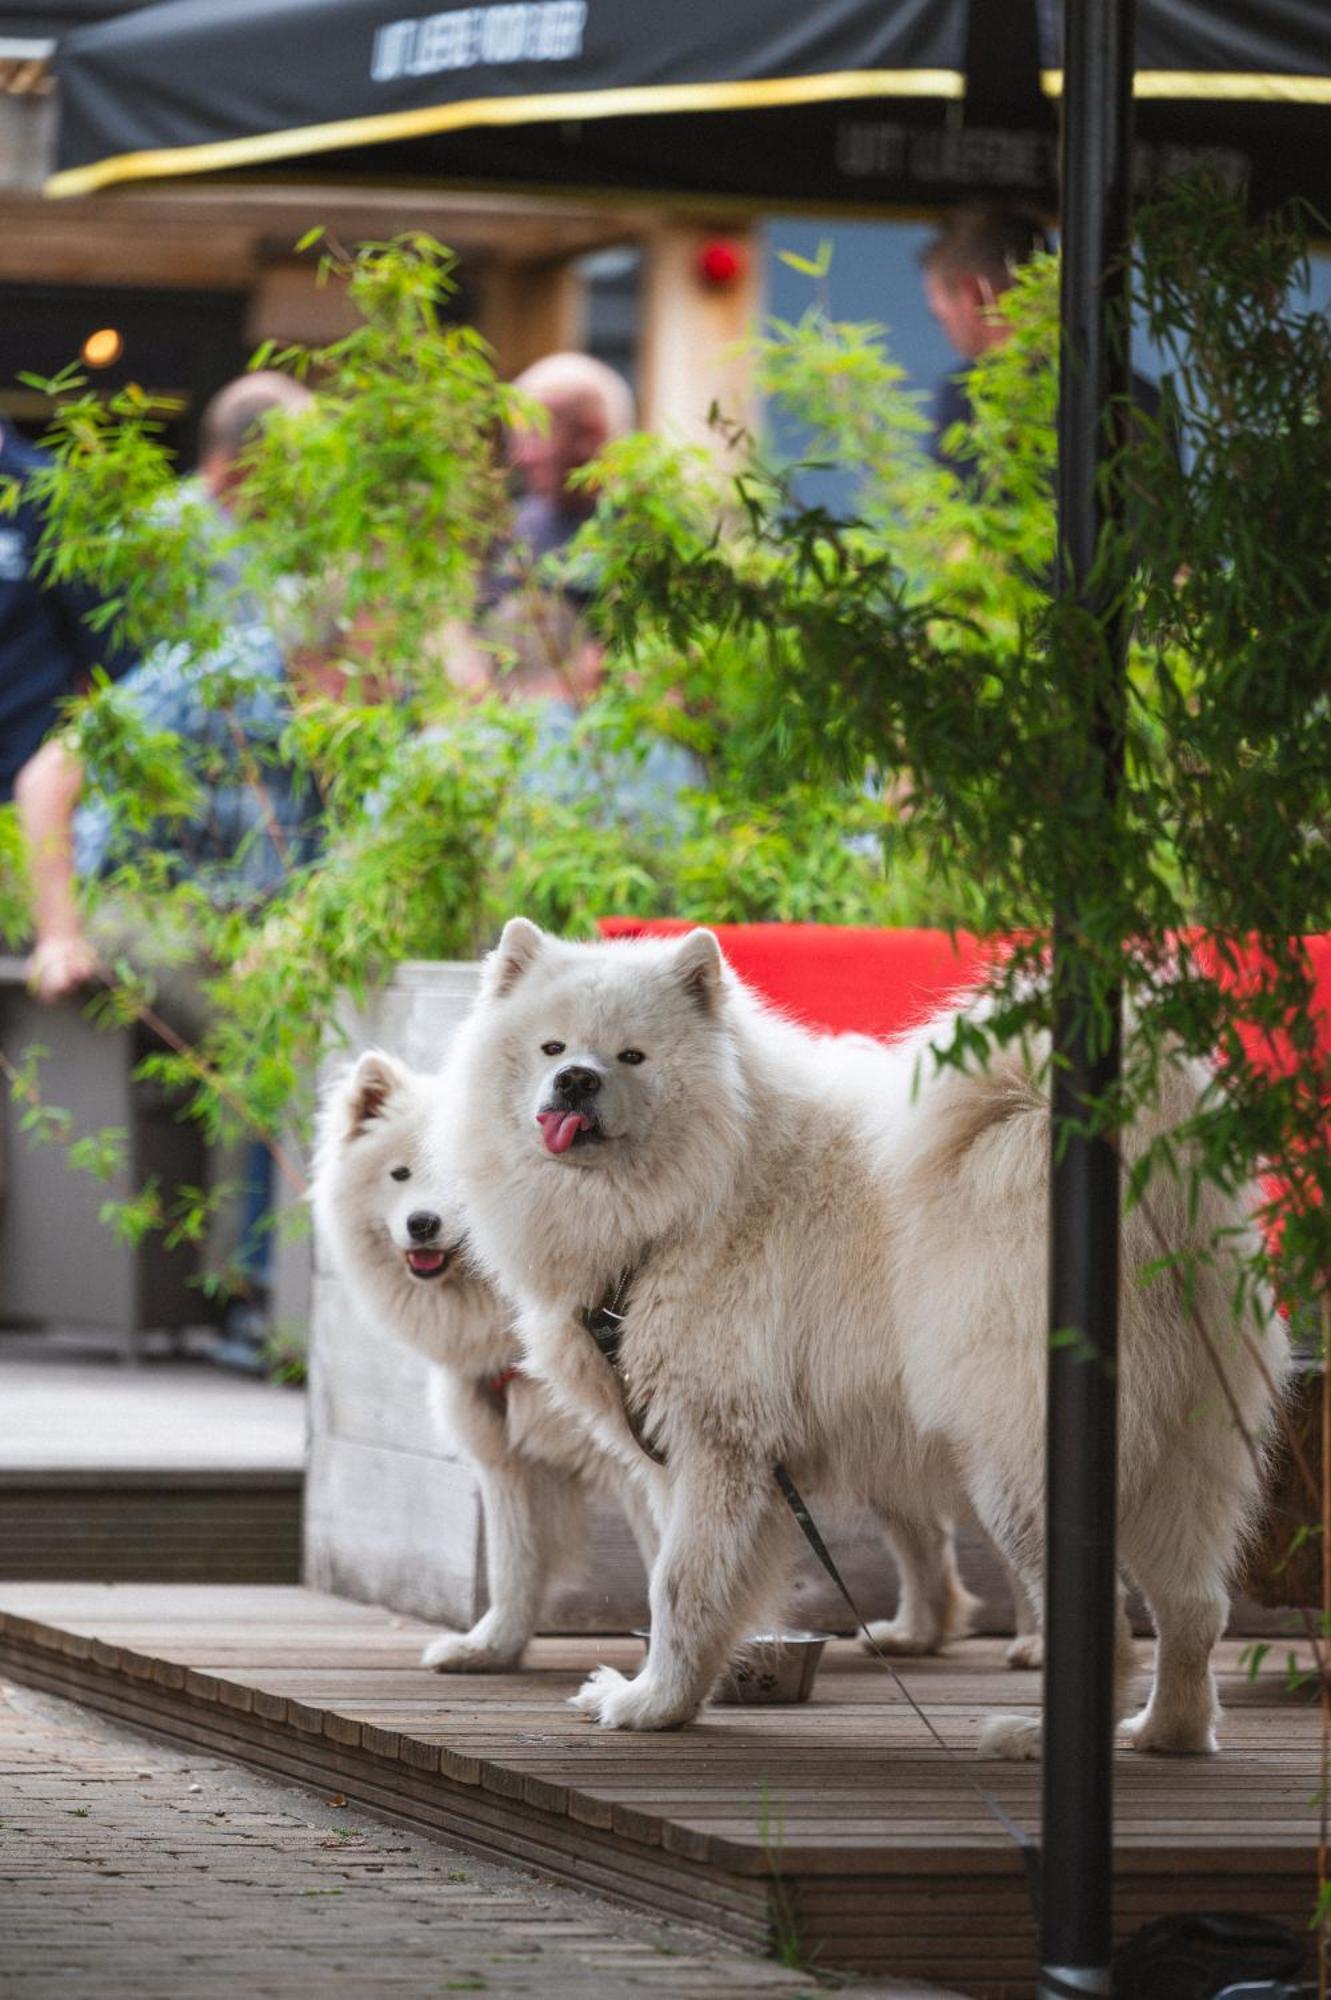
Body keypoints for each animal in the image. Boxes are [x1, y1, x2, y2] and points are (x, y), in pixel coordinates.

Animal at [309, 1056, 659, 1680]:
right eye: (399, 1174)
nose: (422, 1224)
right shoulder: (505, 1462)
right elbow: (511, 1566)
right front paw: (491, 1649)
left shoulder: (645, 1464)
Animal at [443, 920, 1287, 1752]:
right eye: (552, 1047)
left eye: (630, 1056)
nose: (575, 1081)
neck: (695, 1193)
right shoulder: (679, 1458)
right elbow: (679, 1583)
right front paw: (672, 1698)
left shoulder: (720, 1446)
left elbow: (679, 1585)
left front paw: (649, 1706)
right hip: (1181, 1458)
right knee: (1193, 1608)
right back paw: (1167, 1731)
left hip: (1018, 1468)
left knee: (1103, 1624)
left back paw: (1035, 1736)